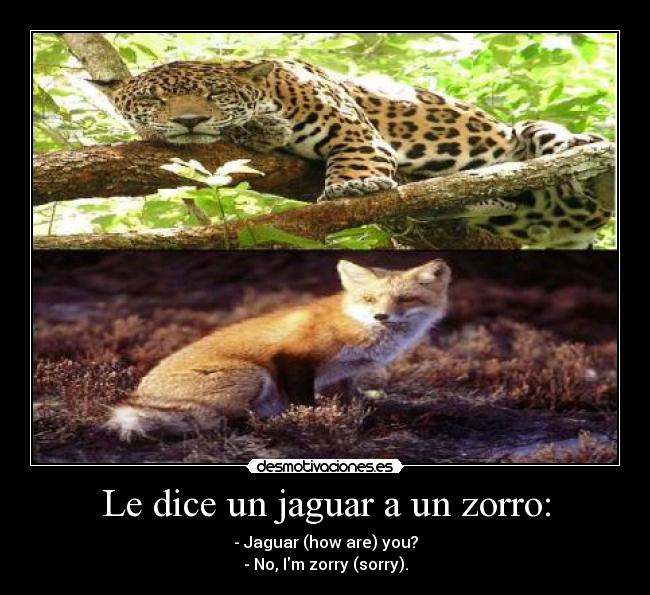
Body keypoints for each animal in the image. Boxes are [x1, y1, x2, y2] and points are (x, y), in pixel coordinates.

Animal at [96, 58, 613, 249]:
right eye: (154, 100)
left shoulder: (348, 123)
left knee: (555, 145)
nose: (189, 120)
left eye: (215, 95)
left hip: (532, 137)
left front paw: (355, 186)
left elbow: (356, 154)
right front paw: (260, 127)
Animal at [106, 259, 451, 441]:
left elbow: (348, 402)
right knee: (227, 420)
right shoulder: (293, 358)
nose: (381, 316)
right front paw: (310, 423)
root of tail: (141, 396)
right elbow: (306, 403)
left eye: (405, 299)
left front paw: (354, 421)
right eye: (369, 299)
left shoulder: (344, 374)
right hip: (254, 374)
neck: (356, 326)